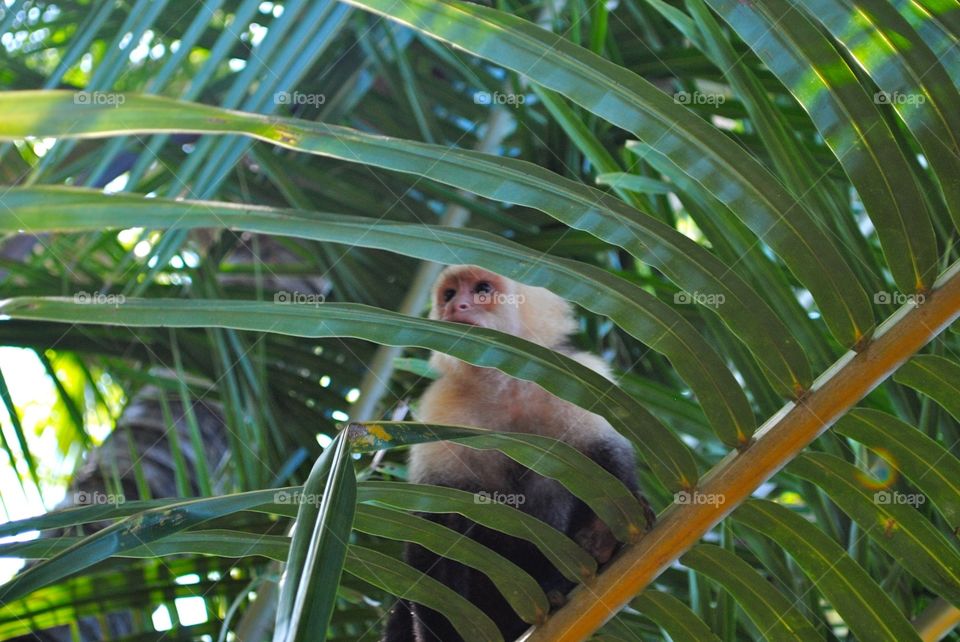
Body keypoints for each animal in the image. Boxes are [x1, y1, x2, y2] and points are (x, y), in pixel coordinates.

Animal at [383, 265, 653, 642]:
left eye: (482, 289)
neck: (505, 383)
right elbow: (440, 517)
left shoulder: (577, 378)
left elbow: (602, 455)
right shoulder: (442, 405)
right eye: (449, 295)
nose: (457, 306)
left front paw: (604, 528)